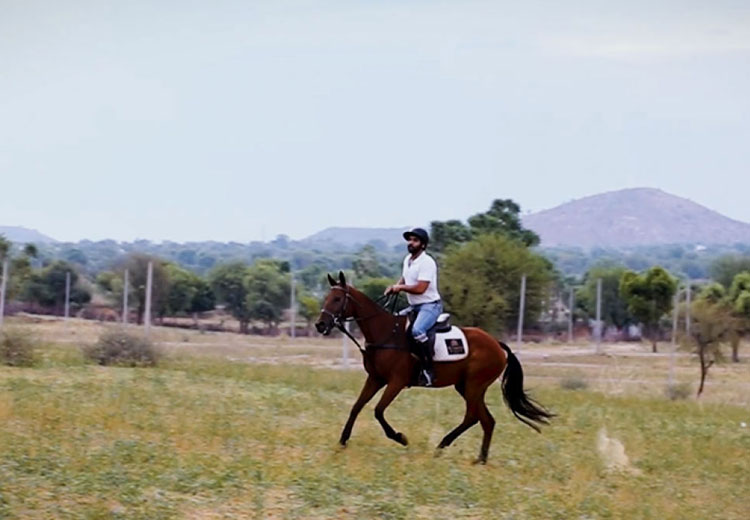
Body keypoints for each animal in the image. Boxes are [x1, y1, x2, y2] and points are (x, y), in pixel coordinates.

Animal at [314, 272, 556, 464]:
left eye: (337, 299)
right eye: (327, 297)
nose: (320, 324)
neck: (385, 333)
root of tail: (497, 344)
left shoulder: (396, 382)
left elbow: (378, 410)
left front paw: (400, 437)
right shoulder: (375, 379)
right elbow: (356, 407)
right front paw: (342, 441)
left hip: (474, 386)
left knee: (472, 417)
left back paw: (442, 446)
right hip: (466, 387)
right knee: (487, 420)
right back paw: (480, 459)